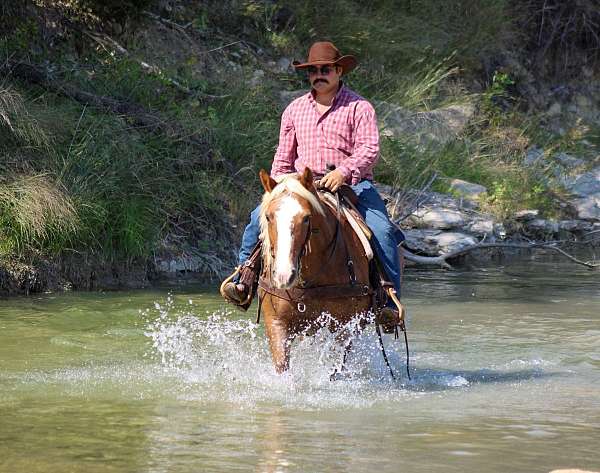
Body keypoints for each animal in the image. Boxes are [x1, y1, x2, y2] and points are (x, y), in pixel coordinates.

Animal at [255, 168, 378, 374]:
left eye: (306, 218)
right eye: (268, 217)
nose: (283, 275)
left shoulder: (346, 326)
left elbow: (335, 366)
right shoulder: (276, 322)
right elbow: (282, 365)